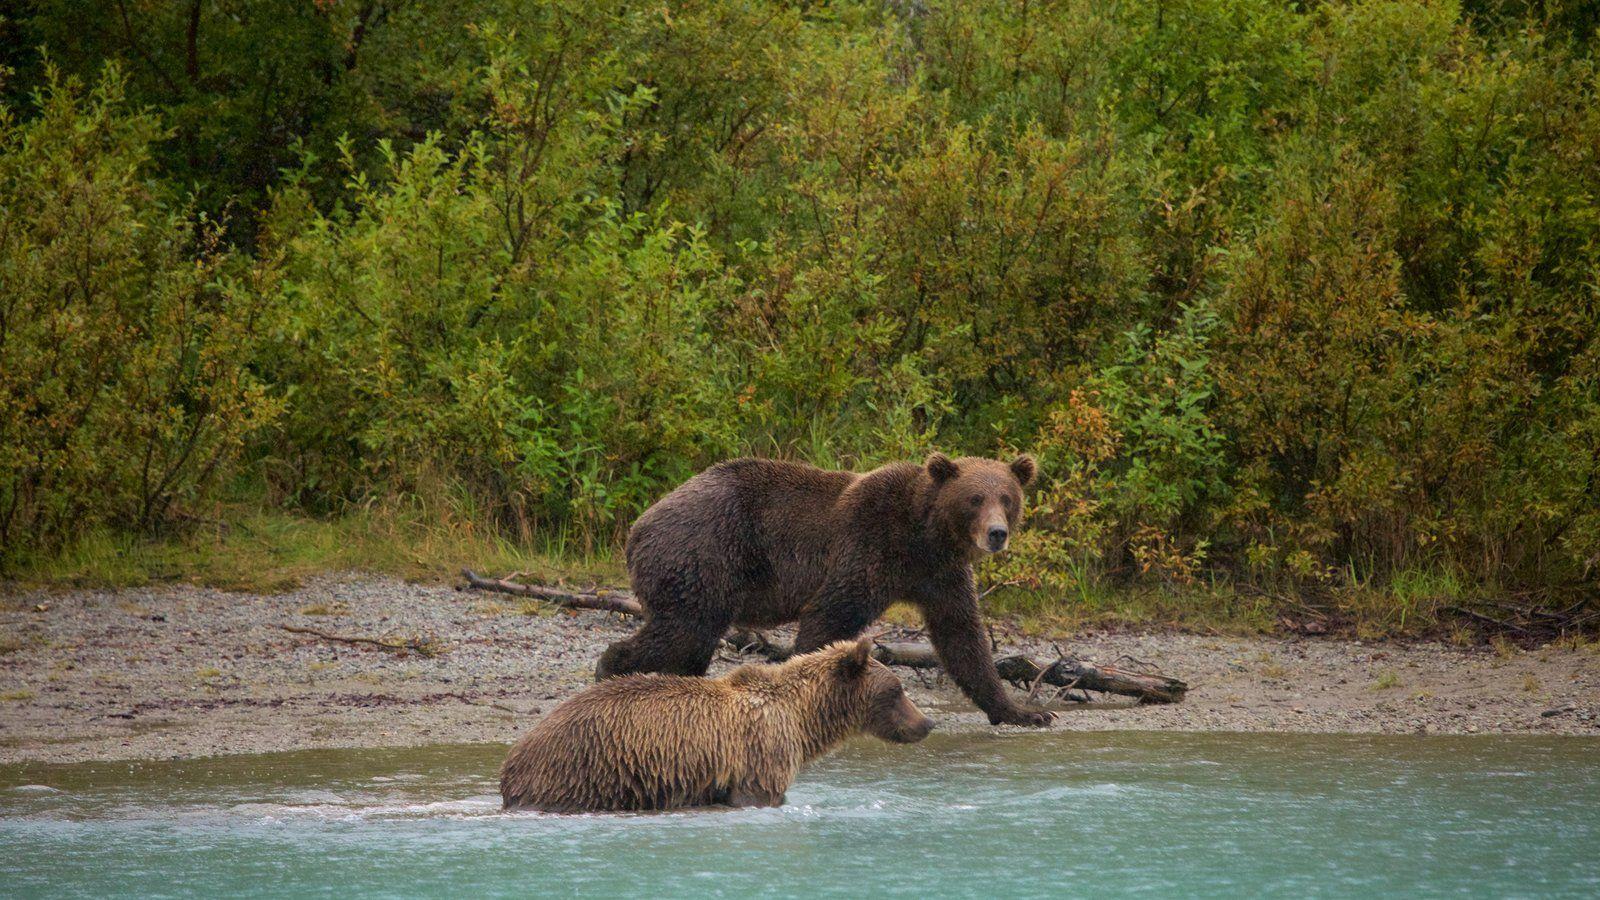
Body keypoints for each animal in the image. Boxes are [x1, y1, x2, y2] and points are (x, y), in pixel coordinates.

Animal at [496, 630, 928, 813]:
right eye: (897, 690)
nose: (926, 723)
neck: (802, 717)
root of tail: (515, 756)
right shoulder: (762, 752)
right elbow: (760, 794)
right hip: (583, 767)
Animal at [598, 451, 1049, 723]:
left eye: (1007, 497)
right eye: (974, 498)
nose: (996, 534)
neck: (923, 536)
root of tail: (637, 528)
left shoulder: (940, 575)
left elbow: (962, 637)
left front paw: (1024, 712)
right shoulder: (869, 545)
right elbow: (830, 616)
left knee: (690, 641)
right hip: (703, 554)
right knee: (683, 631)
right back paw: (611, 668)